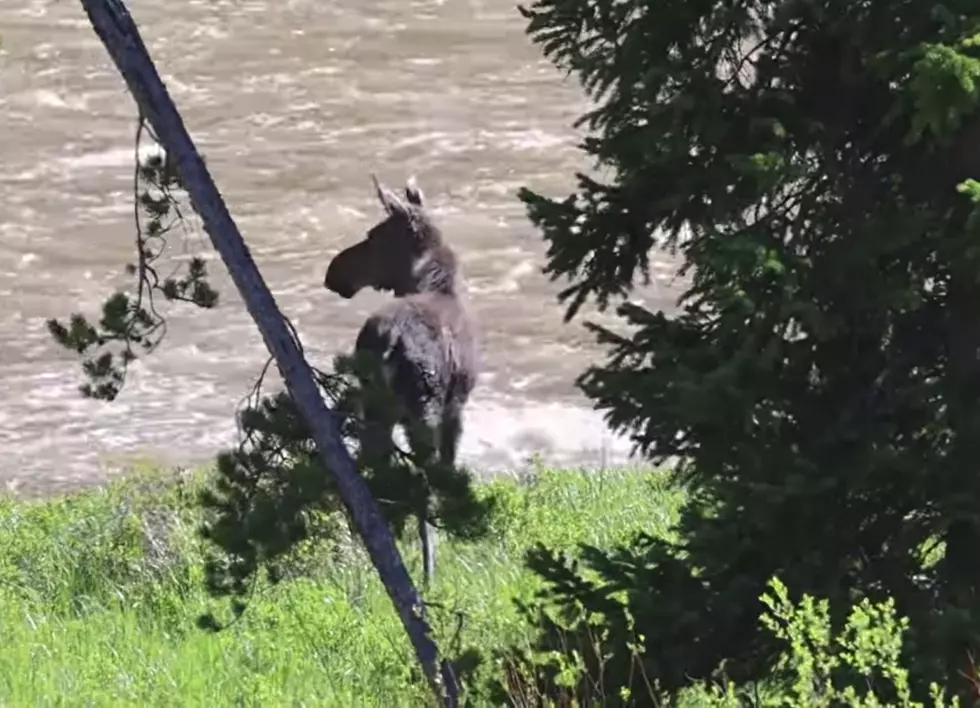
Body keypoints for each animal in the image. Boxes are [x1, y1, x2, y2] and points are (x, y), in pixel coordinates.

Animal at [326, 173, 478, 588]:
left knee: (371, 465)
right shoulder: (456, 408)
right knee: (419, 477)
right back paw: (427, 562)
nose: (333, 274)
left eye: (373, 236)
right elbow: (448, 469)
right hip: (420, 406)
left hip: (375, 407)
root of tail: (388, 341)